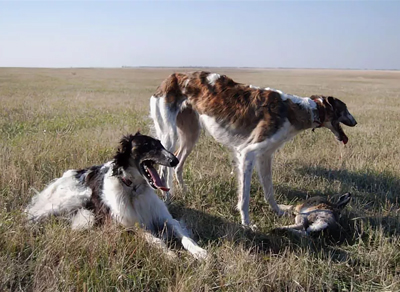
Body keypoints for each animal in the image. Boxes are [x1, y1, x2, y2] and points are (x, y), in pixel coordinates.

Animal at [25, 133, 208, 260]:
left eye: (161, 145)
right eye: (147, 145)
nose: (175, 160)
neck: (135, 191)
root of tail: (74, 172)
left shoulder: (167, 219)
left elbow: (185, 237)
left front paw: (199, 252)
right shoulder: (130, 226)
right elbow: (155, 240)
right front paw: (169, 254)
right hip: (71, 200)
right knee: (31, 215)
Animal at [150, 71, 356, 228]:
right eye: (345, 109)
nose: (355, 122)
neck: (295, 111)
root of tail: (170, 78)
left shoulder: (265, 156)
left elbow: (269, 191)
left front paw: (279, 212)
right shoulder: (248, 153)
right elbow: (244, 198)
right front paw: (246, 224)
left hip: (191, 134)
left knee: (177, 164)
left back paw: (183, 191)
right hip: (169, 135)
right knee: (164, 169)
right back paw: (167, 198)